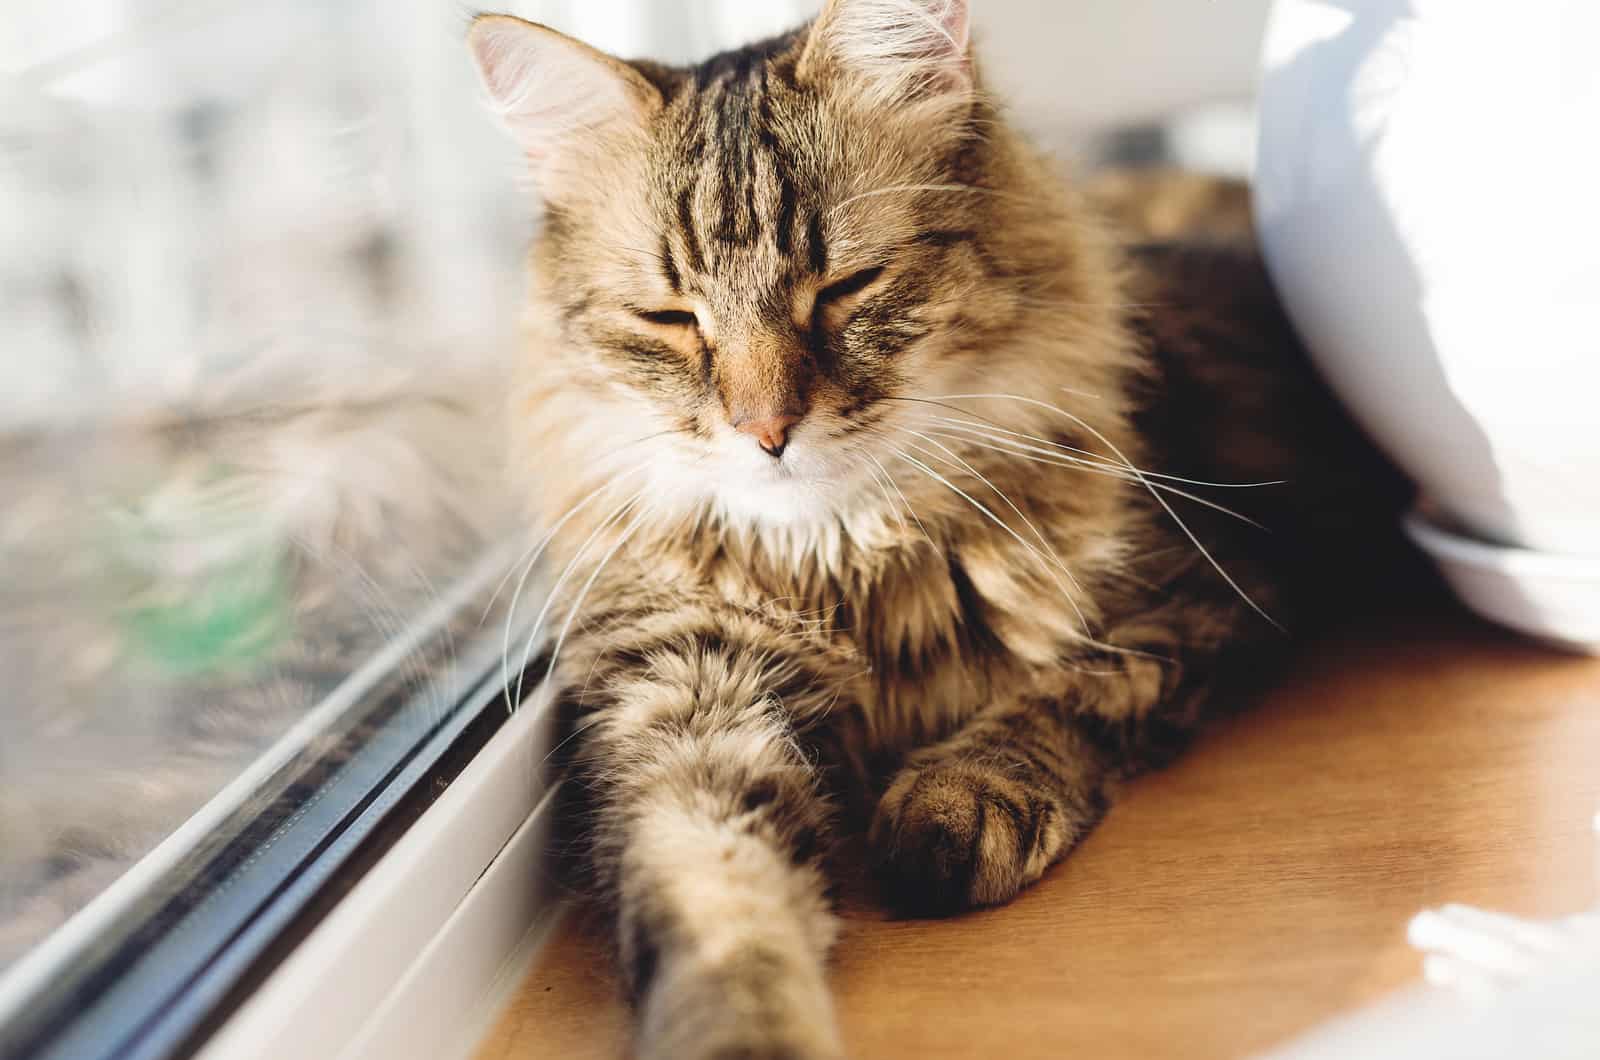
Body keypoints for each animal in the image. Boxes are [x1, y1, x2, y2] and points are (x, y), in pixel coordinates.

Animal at [467, 4, 1401, 1056]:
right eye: (671, 318)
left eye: (846, 286)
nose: (765, 431)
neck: (842, 564)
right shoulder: (683, 699)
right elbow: (718, 906)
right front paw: (744, 1027)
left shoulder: (1207, 590)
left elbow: (1067, 693)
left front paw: (957, 801)